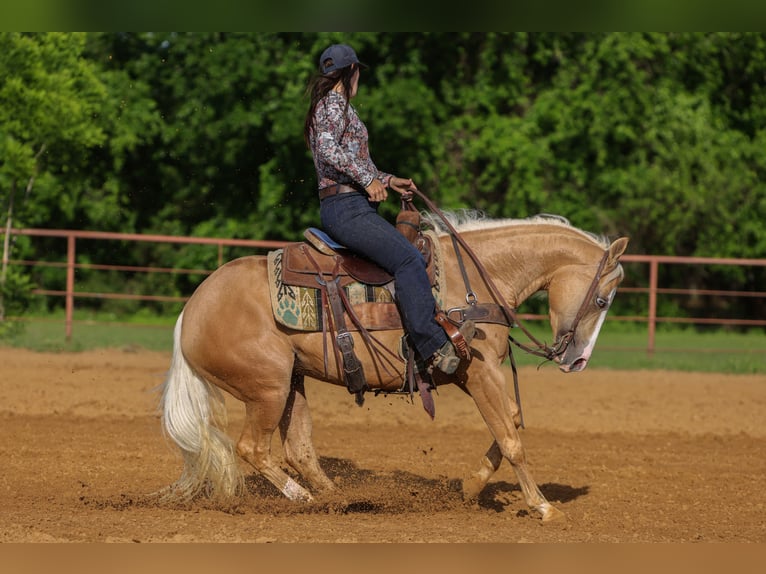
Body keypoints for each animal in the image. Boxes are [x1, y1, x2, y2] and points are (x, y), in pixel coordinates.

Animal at [158, 212, 629, 522]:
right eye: (602, 299)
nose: (577, 360)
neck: (477, 281)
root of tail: (192, 309)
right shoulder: (478, 371)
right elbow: (511, 438)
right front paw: (542, 506)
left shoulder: (471, 372)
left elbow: (508, 422)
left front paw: (471, 486)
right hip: (267, 388)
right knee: (253, 449)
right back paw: (305, 500)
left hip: (292, 383)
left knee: (299, 450)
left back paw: (339, 499)